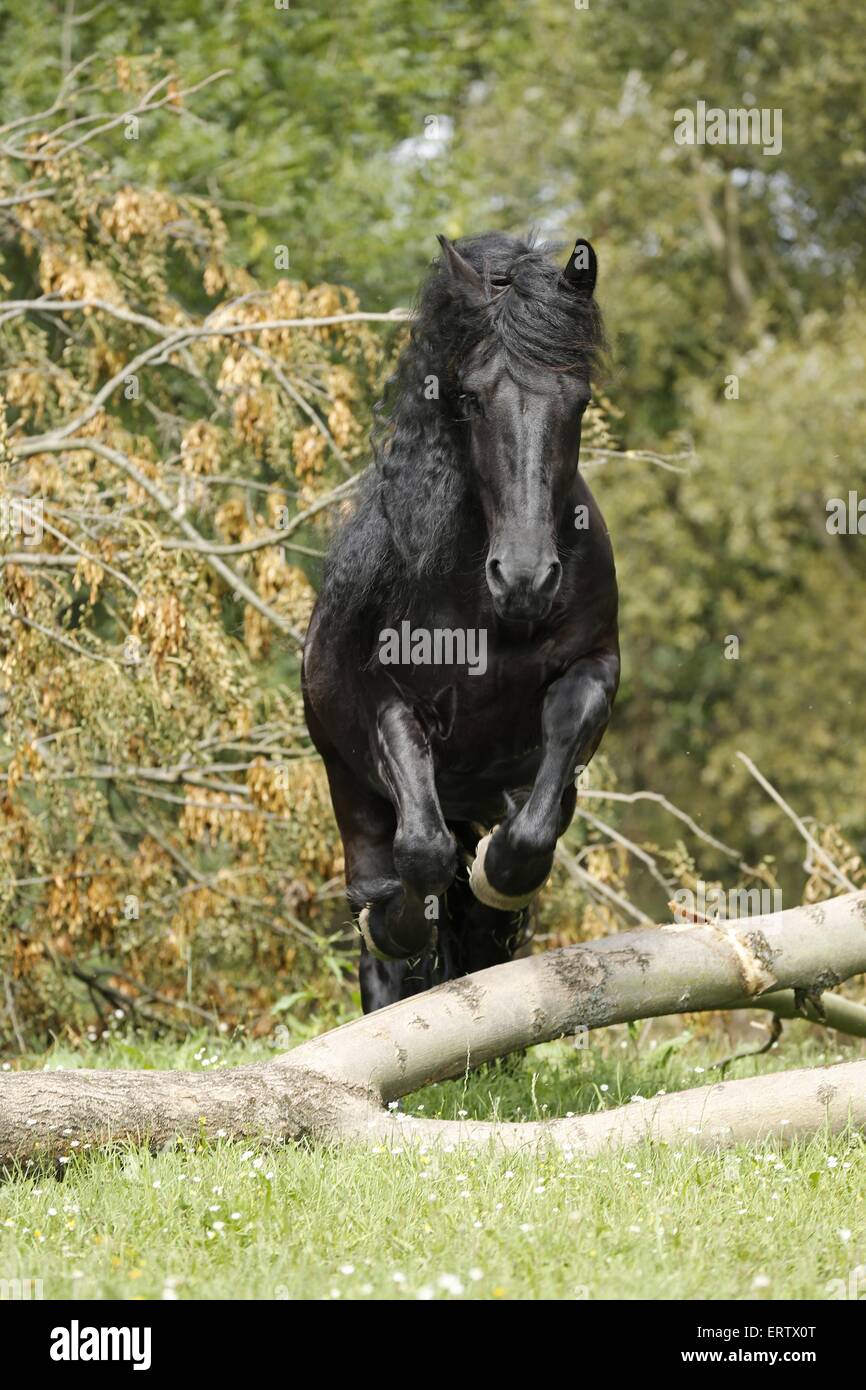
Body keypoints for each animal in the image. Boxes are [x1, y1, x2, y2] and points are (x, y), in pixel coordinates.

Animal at [301, 230, 619, 1011]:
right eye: (472, 398)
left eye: (578, 400)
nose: (526, 578)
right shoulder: (385, 700)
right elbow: (420, 852)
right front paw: (398, 919)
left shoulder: (595, 665)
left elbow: (527, 834)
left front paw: (500, 873)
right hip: (346, 785)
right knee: (384, 897)